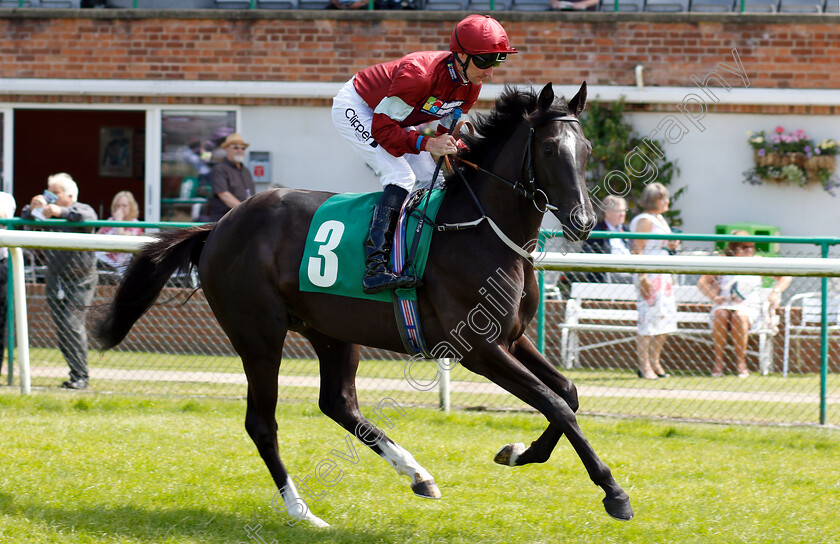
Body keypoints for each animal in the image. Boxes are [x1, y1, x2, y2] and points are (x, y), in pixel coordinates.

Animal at [95, 83, 632, 524]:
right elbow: (555, 404)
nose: (585, 221)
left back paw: (418, 474)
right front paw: (613, 491)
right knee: (262, 423)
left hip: (331, 332)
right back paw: (302, 511)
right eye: (548, 148)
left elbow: (567, 394)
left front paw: (519, 452)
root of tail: (219, 226)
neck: (479, 230)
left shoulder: (513, 339)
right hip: (258, 336)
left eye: (586, 149)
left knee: (338, 403)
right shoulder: (479, 350)